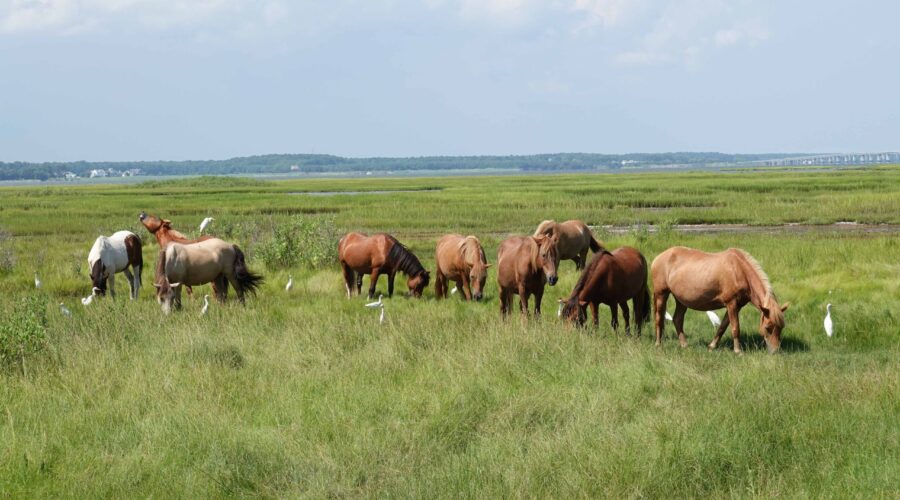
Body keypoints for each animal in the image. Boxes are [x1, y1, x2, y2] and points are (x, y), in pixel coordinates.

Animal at [652, 247, 792, 356]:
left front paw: (712, 346)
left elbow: (723, 326)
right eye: (768, 327)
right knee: (659, 318)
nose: (775, 351)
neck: (739, 271)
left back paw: (684, 345)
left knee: (677, 319)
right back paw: (658, 344)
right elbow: (735, 328)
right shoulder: (731, 304)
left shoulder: (736, 306)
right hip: (661, 294)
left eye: (781, 327)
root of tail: (658, 258)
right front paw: (738, 351)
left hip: (681, 300)